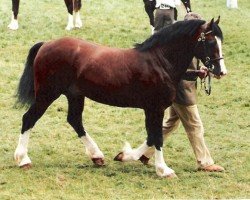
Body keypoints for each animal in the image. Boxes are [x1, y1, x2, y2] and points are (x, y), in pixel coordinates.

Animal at [14, 18, 227, 177]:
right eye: (210, 41)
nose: (221, 71)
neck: (159, 61)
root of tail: (46, 44)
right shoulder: (155, 108)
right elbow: (157, 137)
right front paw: (164, 170)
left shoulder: (151, 109)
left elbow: (151, 137)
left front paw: (125, 156)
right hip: (47, 94)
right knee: (29, 119)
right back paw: (23, 159)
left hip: (75, 96)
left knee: (75, 120)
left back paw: (97, 157)